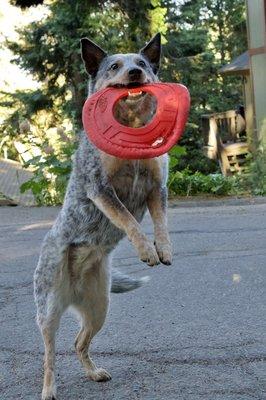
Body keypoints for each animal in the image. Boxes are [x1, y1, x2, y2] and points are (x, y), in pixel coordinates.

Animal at [33, 32, 172, 398]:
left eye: (142, 63)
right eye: (114, 66)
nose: (135, 73)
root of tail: (73, 288)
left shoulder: (157, 187)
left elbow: (161, 222)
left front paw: (163, 248)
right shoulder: (100, 189)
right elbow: (128, 219)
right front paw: (146, 250)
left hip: (99, 308)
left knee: (79, 342)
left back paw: (94, 372)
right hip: (48, 309)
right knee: (49, 356)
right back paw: (49, 390)